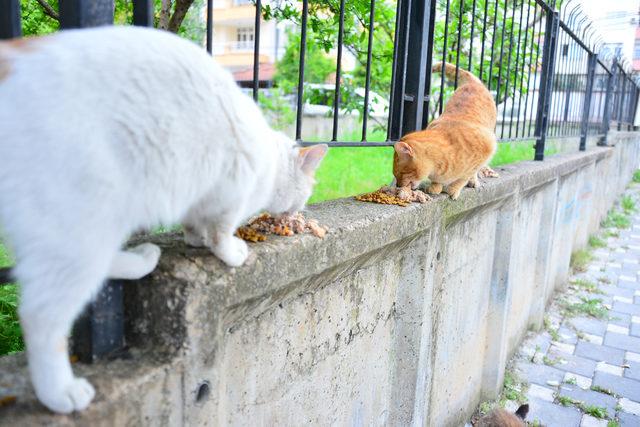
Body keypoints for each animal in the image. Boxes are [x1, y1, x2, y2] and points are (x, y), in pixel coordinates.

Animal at [0, 26, 328, 414]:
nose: (297, 212)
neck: (269, 162)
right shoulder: (232, 188)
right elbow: (221, 231)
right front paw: (231, 252)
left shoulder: (197, 193)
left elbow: (195, 224)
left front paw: (195, 239)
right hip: (82, 220)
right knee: (41, 315)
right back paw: (61, 392)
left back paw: (142, 257)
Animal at [392, 61, 498, 201]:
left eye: (400, 173)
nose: (398, 185)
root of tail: (473, 83)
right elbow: (438, 182)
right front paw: (435, 186)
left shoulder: (488, 148)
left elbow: (464, 177)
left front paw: (454, 189)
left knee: (473, 172)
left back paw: (473, 181)